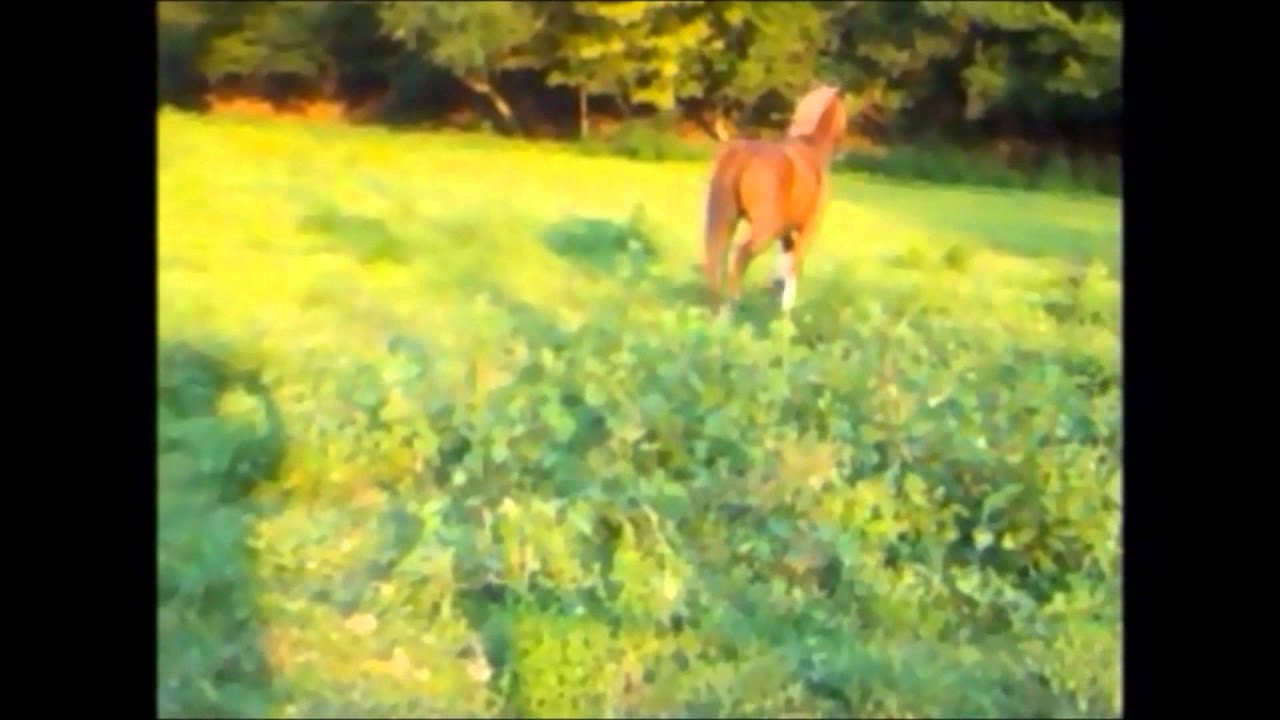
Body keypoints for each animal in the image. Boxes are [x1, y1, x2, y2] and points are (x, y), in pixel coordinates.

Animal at [701, 84, 848, 315]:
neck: (811, 146)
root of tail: (743, 152)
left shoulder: (786, 232)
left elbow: (784, 259)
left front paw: (775, 289)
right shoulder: (808, 229)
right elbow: (795, 264)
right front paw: (786, 311)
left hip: (724, 220)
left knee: (716, 259)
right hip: (765, 229)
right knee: (739, 256)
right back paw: (732, 306)